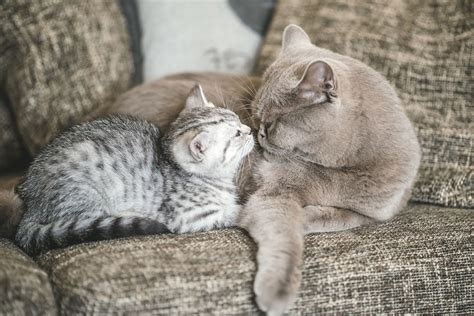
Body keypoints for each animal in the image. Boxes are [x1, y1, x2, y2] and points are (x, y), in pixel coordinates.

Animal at [14, 85, 254, 256]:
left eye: (238, 119)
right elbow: (234, 211)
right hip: (86, 199)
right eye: (236, 135)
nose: (250, 130)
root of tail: (31, 203)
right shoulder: (191, 218)